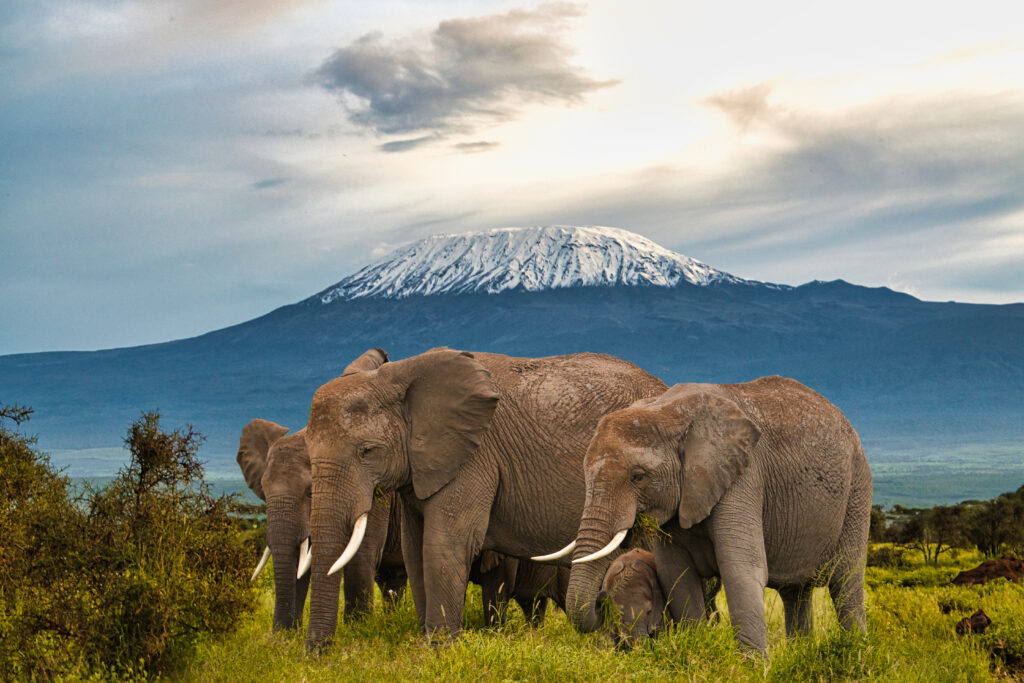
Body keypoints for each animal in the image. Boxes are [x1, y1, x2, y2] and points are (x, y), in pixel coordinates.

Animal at [235, 350, 403, 634]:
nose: (278, 634)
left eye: (310, 493)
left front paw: (357, 632)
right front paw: (287, 637)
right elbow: (302, 562)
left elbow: (361, 554)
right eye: (264, 493)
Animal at [299, 350, 663, 651]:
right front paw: (427, 644)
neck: (402, 377)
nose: (317, 653)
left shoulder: (474, 457)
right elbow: (414, 549)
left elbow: (445, 543)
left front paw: (439, 650)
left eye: (367, 451)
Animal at [561, 376, 872, 655]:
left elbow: (741, 568)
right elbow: (677, 575)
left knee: (846, 581)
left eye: (638, 476)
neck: (668, 411)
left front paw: (751, 669)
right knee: (795, 592)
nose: (601, 599)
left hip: (858, 488)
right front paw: (697, 652)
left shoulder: (744, 476)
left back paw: (855, 651)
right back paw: (801, 654)